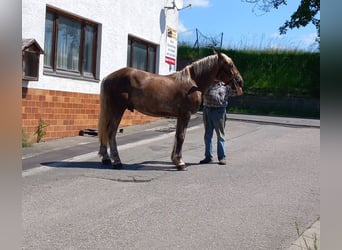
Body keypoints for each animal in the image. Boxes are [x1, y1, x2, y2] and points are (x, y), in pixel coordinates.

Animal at [97, 51, 244, 171]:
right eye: (230, 64)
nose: (240, 82)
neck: (193, 83)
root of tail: (107, 77)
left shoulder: (180, 115)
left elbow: (177, 136)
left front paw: (175, 160)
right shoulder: (185, 114)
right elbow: (181, 136)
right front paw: (180, 163)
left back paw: (106, 158)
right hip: (117, 109)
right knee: (111, 132)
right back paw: (117, 162)